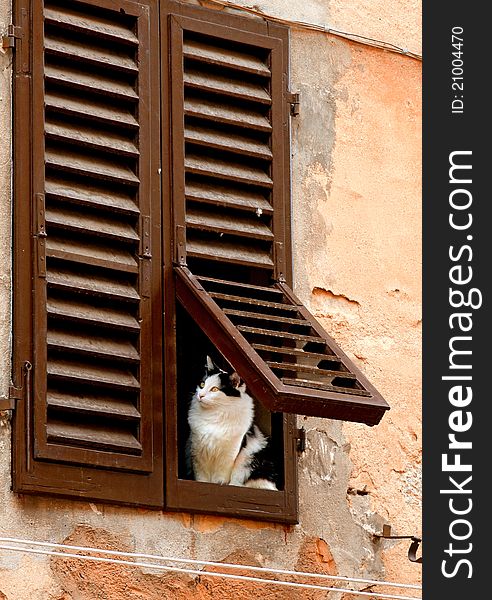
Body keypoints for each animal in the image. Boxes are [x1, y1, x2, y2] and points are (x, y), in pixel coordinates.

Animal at [186, 356, 278, 488]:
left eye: (215, 389)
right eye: (202, 384)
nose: (200, 395)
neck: (213, 415)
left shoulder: (229, 454)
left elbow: (220, 477)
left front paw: (219, 484)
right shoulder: (197, 452)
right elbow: (201, 478)